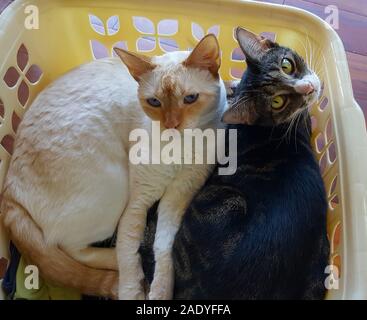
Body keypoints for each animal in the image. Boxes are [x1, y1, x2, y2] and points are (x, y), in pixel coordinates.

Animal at [1, 35, 227, 300]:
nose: (171, 125)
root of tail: (7, 191)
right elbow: (128, 256)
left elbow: (163, 245)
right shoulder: (137, 201)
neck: (177, 147)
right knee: (71, 249)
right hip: (114, 194)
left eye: (190, 99)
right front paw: (134, 288)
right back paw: (124, 266)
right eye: (154, 102)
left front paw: (159, 292)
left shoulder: (179, 193)